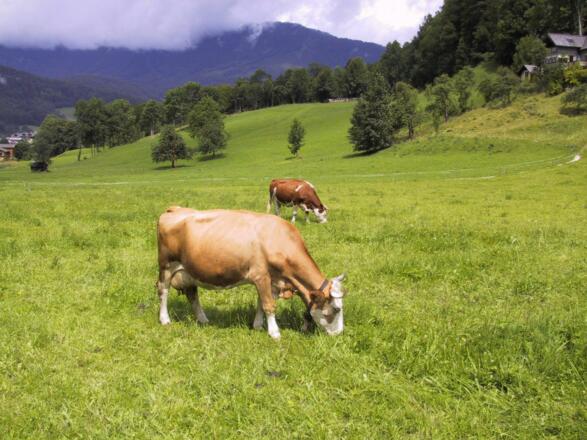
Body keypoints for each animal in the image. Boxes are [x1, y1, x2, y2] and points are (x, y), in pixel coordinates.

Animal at [156, 206, 347, 339]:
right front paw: (274, 333)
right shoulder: (260, 275)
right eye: (337, 309)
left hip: (189, 272)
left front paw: (257, 325)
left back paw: (203, 320)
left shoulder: (273, 280)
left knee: (193, 295)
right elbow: (269, 305)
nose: (339, 333)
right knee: (163, 291)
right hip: (166, 266)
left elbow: (261, 303)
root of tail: (174, 209)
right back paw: (165, 319)